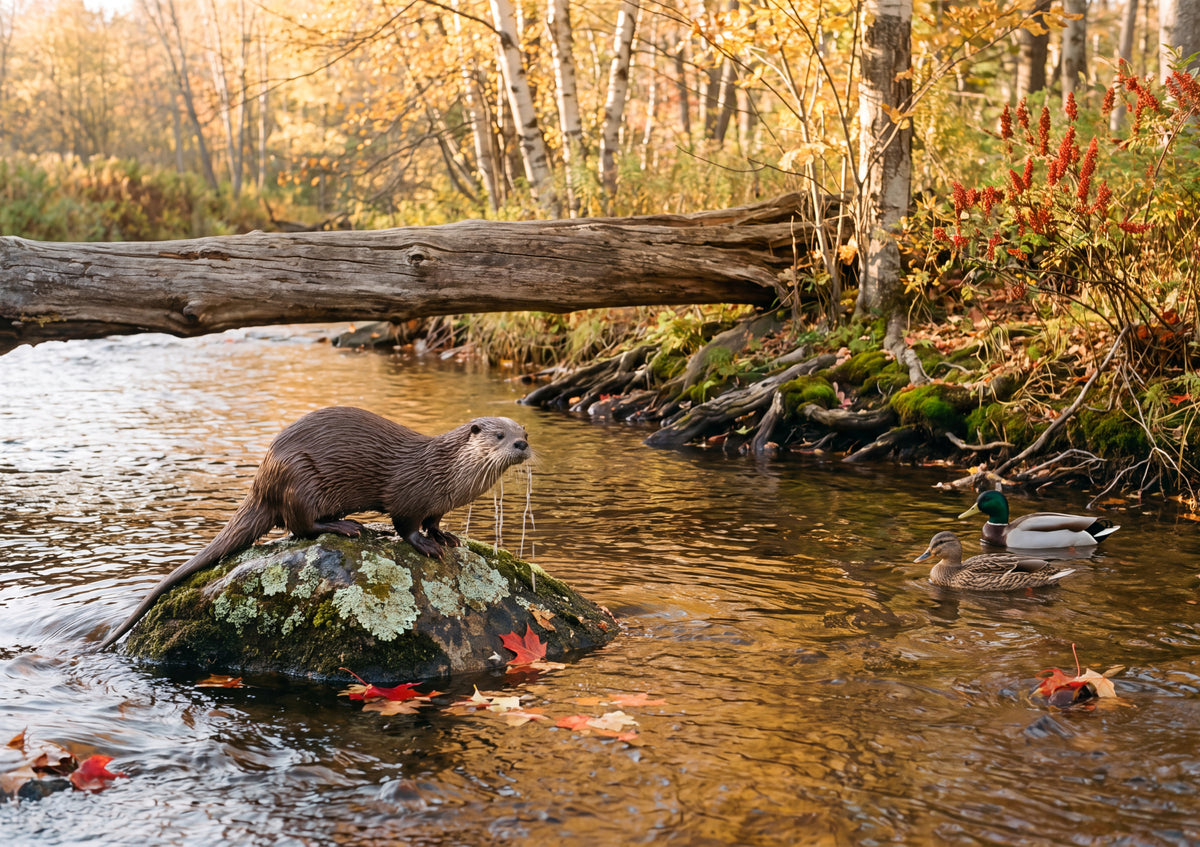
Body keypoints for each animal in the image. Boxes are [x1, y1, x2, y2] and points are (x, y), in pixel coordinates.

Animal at [99, 407, 531, 649]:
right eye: (499, 435)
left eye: (523, 432)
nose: (522, 445)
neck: (447, 475)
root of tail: (263, 479)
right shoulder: (409, 495)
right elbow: (405, 525)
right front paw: (425, 546)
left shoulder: (436, 505)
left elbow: (433, 522)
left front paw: (445, 536)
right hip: (301, 481)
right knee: (300, 527)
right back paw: (346, 526)